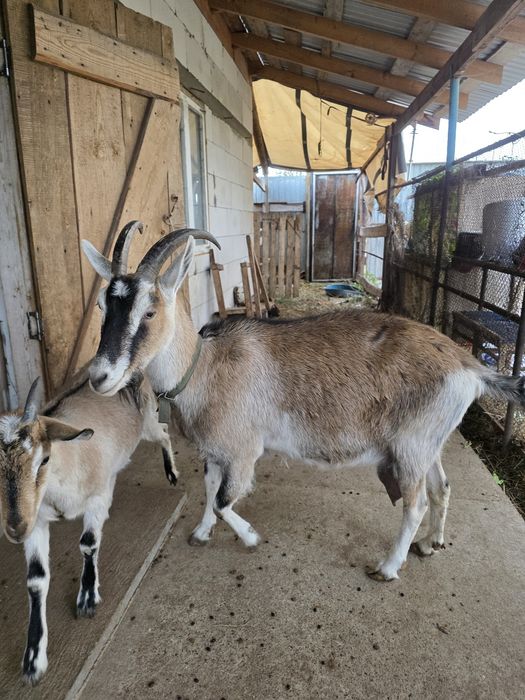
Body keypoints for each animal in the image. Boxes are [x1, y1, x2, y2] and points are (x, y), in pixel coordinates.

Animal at [0, 372, 176, 685]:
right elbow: (36, 579)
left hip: (148, 425)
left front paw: (87, 599)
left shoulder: (93, 499)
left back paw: (172, 474)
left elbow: (88, 543)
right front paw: (33, 659)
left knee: (165, 433)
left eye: (44, 459)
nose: (15, 529)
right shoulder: (38, 521)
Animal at [82, 222, 525, 584]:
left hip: (411, 445)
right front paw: (201, 533)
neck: (205, 368)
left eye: (150, 311)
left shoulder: (244, 450)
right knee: (442, 486)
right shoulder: (214, 450)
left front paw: (251, 537)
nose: (99, 377)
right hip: (425, 442)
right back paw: (431, 543)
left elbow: (225, 500)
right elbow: (209, 490)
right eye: (102, 305)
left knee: (414, 503)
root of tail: (468, 366)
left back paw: (387, 567)